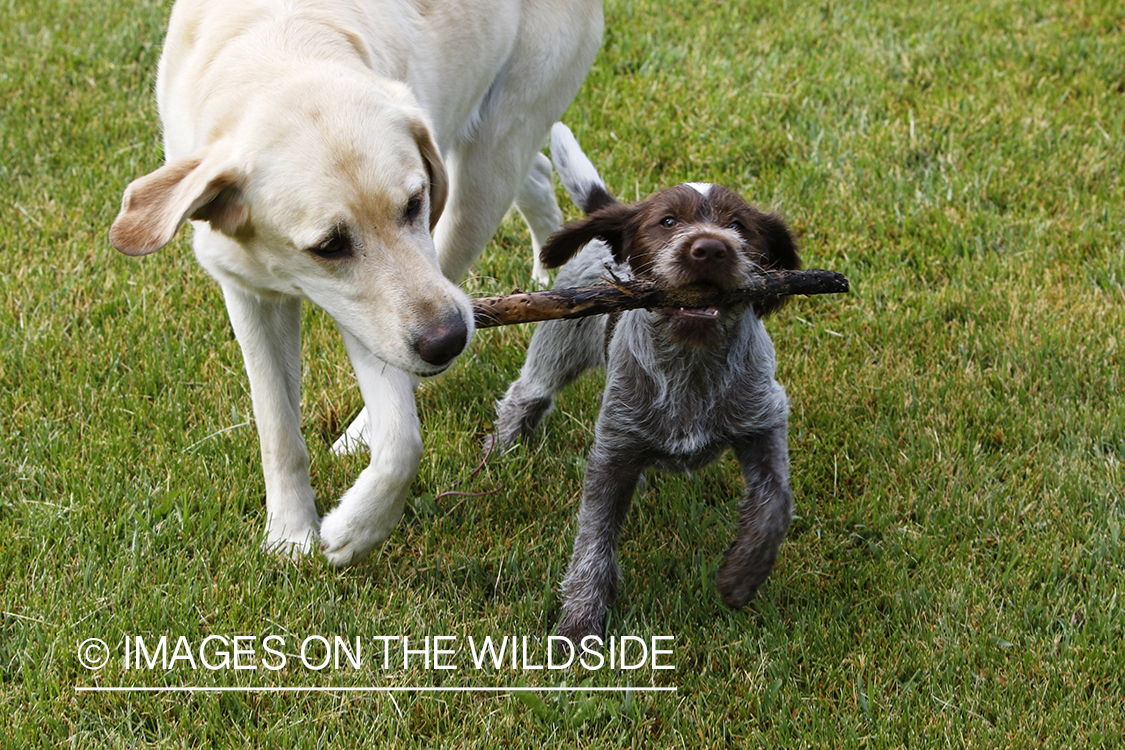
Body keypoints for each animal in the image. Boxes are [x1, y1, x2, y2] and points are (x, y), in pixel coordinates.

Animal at [113, 0, 603, 562]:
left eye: (414, 203)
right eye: (329, 245)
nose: (448, 341)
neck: (275, 46)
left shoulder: (380, 320)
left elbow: (403, 441)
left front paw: (355, 529)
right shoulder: (251, 292)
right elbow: (277, 426)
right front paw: (289, 536)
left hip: (485, 169)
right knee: (538, 172)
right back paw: (550, 270)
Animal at [492, 124, 801, 647]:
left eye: (739, 225)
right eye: (667, 221)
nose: (710, 249)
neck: (691, 364)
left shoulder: (764, 421)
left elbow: (775, 503)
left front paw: (742, 576)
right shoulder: (613, 454)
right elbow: (593, 542)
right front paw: (579, 624)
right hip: (557, 350)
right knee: (524, 397)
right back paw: (498, 453)